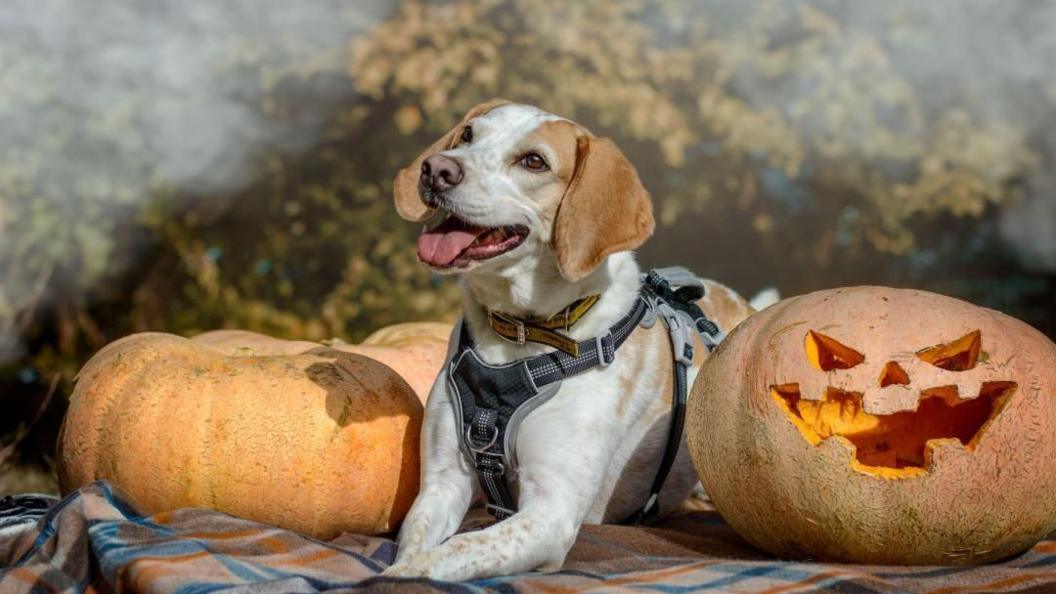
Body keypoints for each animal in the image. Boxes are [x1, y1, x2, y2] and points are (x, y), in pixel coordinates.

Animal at [384, 98, 764, 579]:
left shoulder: (551, 511)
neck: (519, 335)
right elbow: (418, 545)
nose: (436, 169)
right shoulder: (442, 483)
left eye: (534, 161)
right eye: (468, 135)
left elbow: (451, 552)